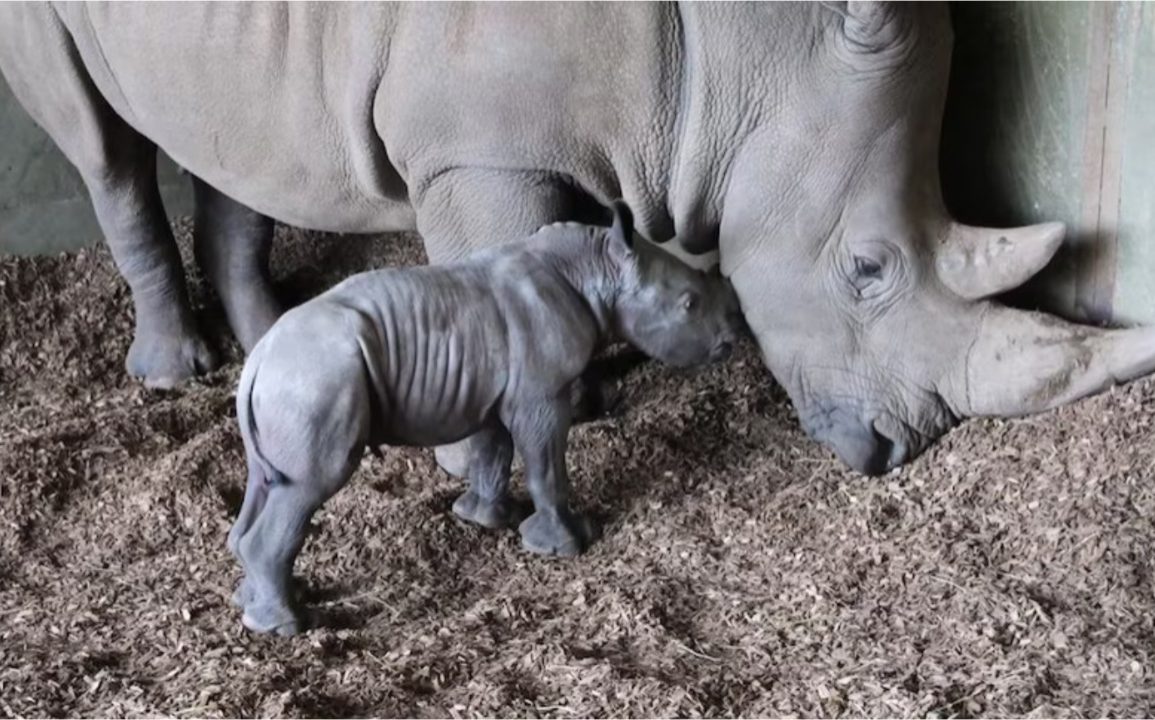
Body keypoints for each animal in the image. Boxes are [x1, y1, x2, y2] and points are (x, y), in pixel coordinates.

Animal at [2, 4, 1155, 478]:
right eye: (866, 269)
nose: (898, 449)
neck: (746, 46)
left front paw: (591, 391)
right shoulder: (474, 149)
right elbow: (499, 259)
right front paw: (504, 445)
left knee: (237, 133)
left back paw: (267, 345)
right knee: (101, 142)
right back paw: (174, 371)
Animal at [229, 199, 743, 633]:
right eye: (690, 304)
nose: (730, 339)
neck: (598, 269)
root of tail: (258, 361)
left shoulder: (491, 391)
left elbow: (493, 452)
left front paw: (485, 518)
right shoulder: (540, 394)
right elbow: (545, 466)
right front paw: (567, 543)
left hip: (290, 387)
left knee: (267, 482)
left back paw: (258, 603)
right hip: (313, 384)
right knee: (311, 484)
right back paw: (287, 626)